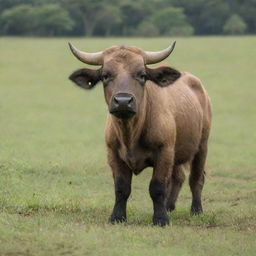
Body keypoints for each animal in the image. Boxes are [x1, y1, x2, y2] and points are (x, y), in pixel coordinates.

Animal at [68, 42, 212, 226]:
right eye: (105, 75)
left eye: (142, 75)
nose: (123, 101)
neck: (131, 133)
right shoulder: (113, 154)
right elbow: (121, 188)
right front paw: (117, 217)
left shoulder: (164, 152)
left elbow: (157, 187)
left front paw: (160, 219)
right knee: (178, 177)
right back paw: (169, 207)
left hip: (202, 146)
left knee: (196, 179)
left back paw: (196, 210)